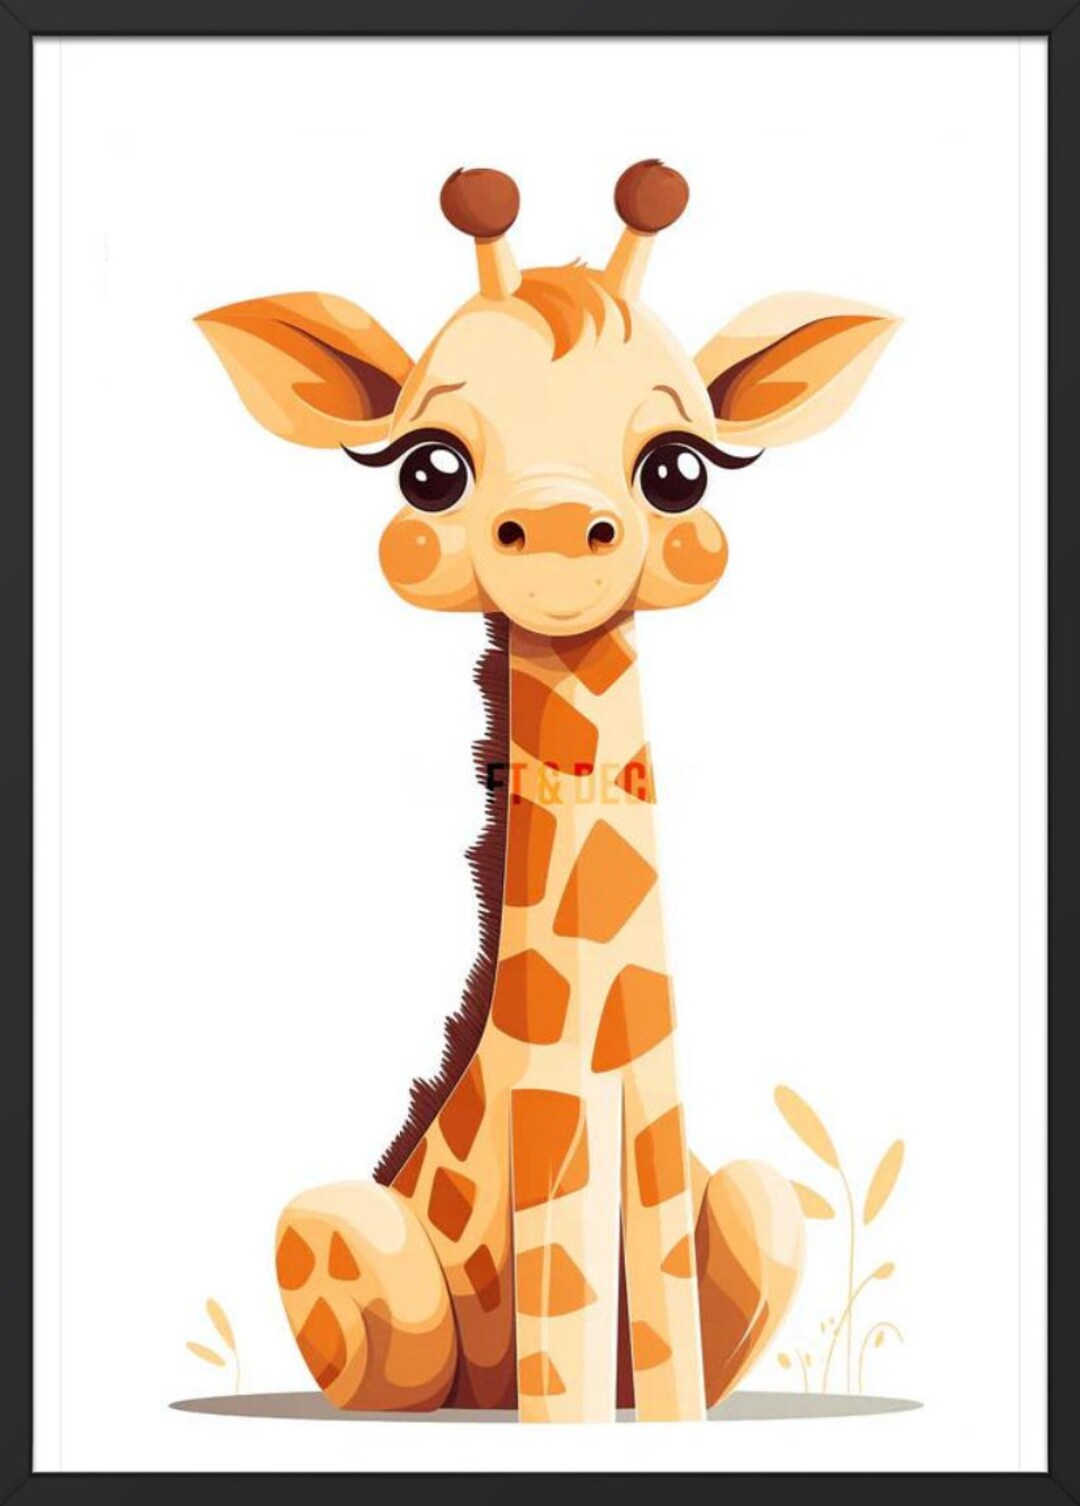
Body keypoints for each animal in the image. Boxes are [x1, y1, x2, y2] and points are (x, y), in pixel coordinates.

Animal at [197, 160, 898, 1423]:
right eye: (430, 466)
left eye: (681, 466)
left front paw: (671, 1432)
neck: (602, 1055)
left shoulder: (662, 1124)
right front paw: (564, 1432)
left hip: (760, 1201)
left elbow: (666, 1345)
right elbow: (565, 1333)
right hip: (346, 1245)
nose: (566, 530)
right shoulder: (557, 1130)